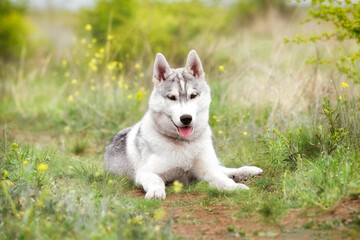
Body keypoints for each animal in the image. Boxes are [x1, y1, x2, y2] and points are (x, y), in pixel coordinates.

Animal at [103, 50, 262, 199]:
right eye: (172, 97)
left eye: (193, 95)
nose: (186, 118)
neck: (185, 145)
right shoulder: (146, 173)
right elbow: (157, 181)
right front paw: (155, 192)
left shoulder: (207, 170)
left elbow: (223, 180)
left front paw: (235, 187)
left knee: (224, 170)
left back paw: (249, 170)